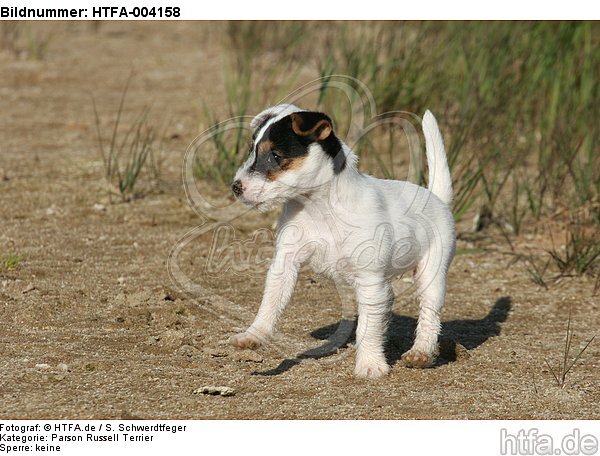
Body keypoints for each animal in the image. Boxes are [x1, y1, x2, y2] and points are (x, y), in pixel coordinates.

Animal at [230, 103, 454, 378]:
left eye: (275, 156)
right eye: (252, 151)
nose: (236, 187)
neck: (319, 208)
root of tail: (436, 197)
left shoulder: (370, 279)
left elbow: (368, 326)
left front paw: (370, 364)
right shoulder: (285, 265)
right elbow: (269, 305)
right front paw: (253, 335)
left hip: (431, 274)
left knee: (429, 314)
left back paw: (421, 352)